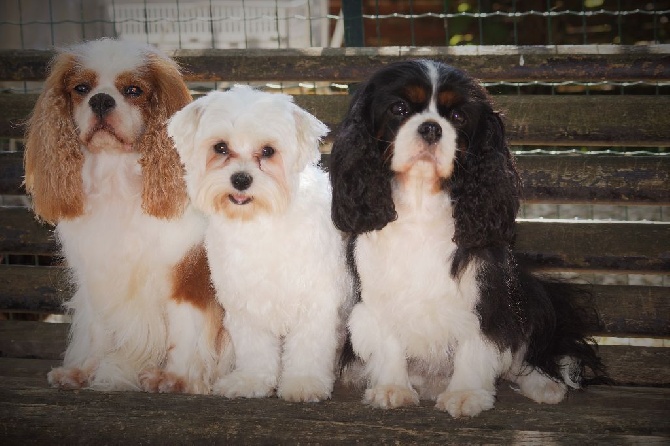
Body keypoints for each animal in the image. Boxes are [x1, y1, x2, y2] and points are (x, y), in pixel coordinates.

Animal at [23, 39, 232, 394]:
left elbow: (184, 332)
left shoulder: (188, 276)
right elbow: (98, 330)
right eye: (81, 88)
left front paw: (174, 378)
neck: (115, 177)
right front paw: (82, 371)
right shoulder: (98, 276)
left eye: (133, 90)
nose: (101, 100)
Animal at [168, 85, 352, 402]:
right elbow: (255, 350)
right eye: (220, 148)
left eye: (268, 151)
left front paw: (303, 383)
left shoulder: (315, 300)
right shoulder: (245, 301)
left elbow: (309, 347)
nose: (241, 179)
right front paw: (250, 381)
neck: (260, 221)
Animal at [330, 60, 608, 418]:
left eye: (459, 117)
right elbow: (388, 341)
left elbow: (476, 343)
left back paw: (544, 386)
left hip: (531, 295)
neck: (421, 201)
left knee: (527, 355)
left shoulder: (486, 294)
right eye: (399, 109)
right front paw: (393, 388)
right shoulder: (377, 295)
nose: (431, 128)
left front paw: (466, 394)